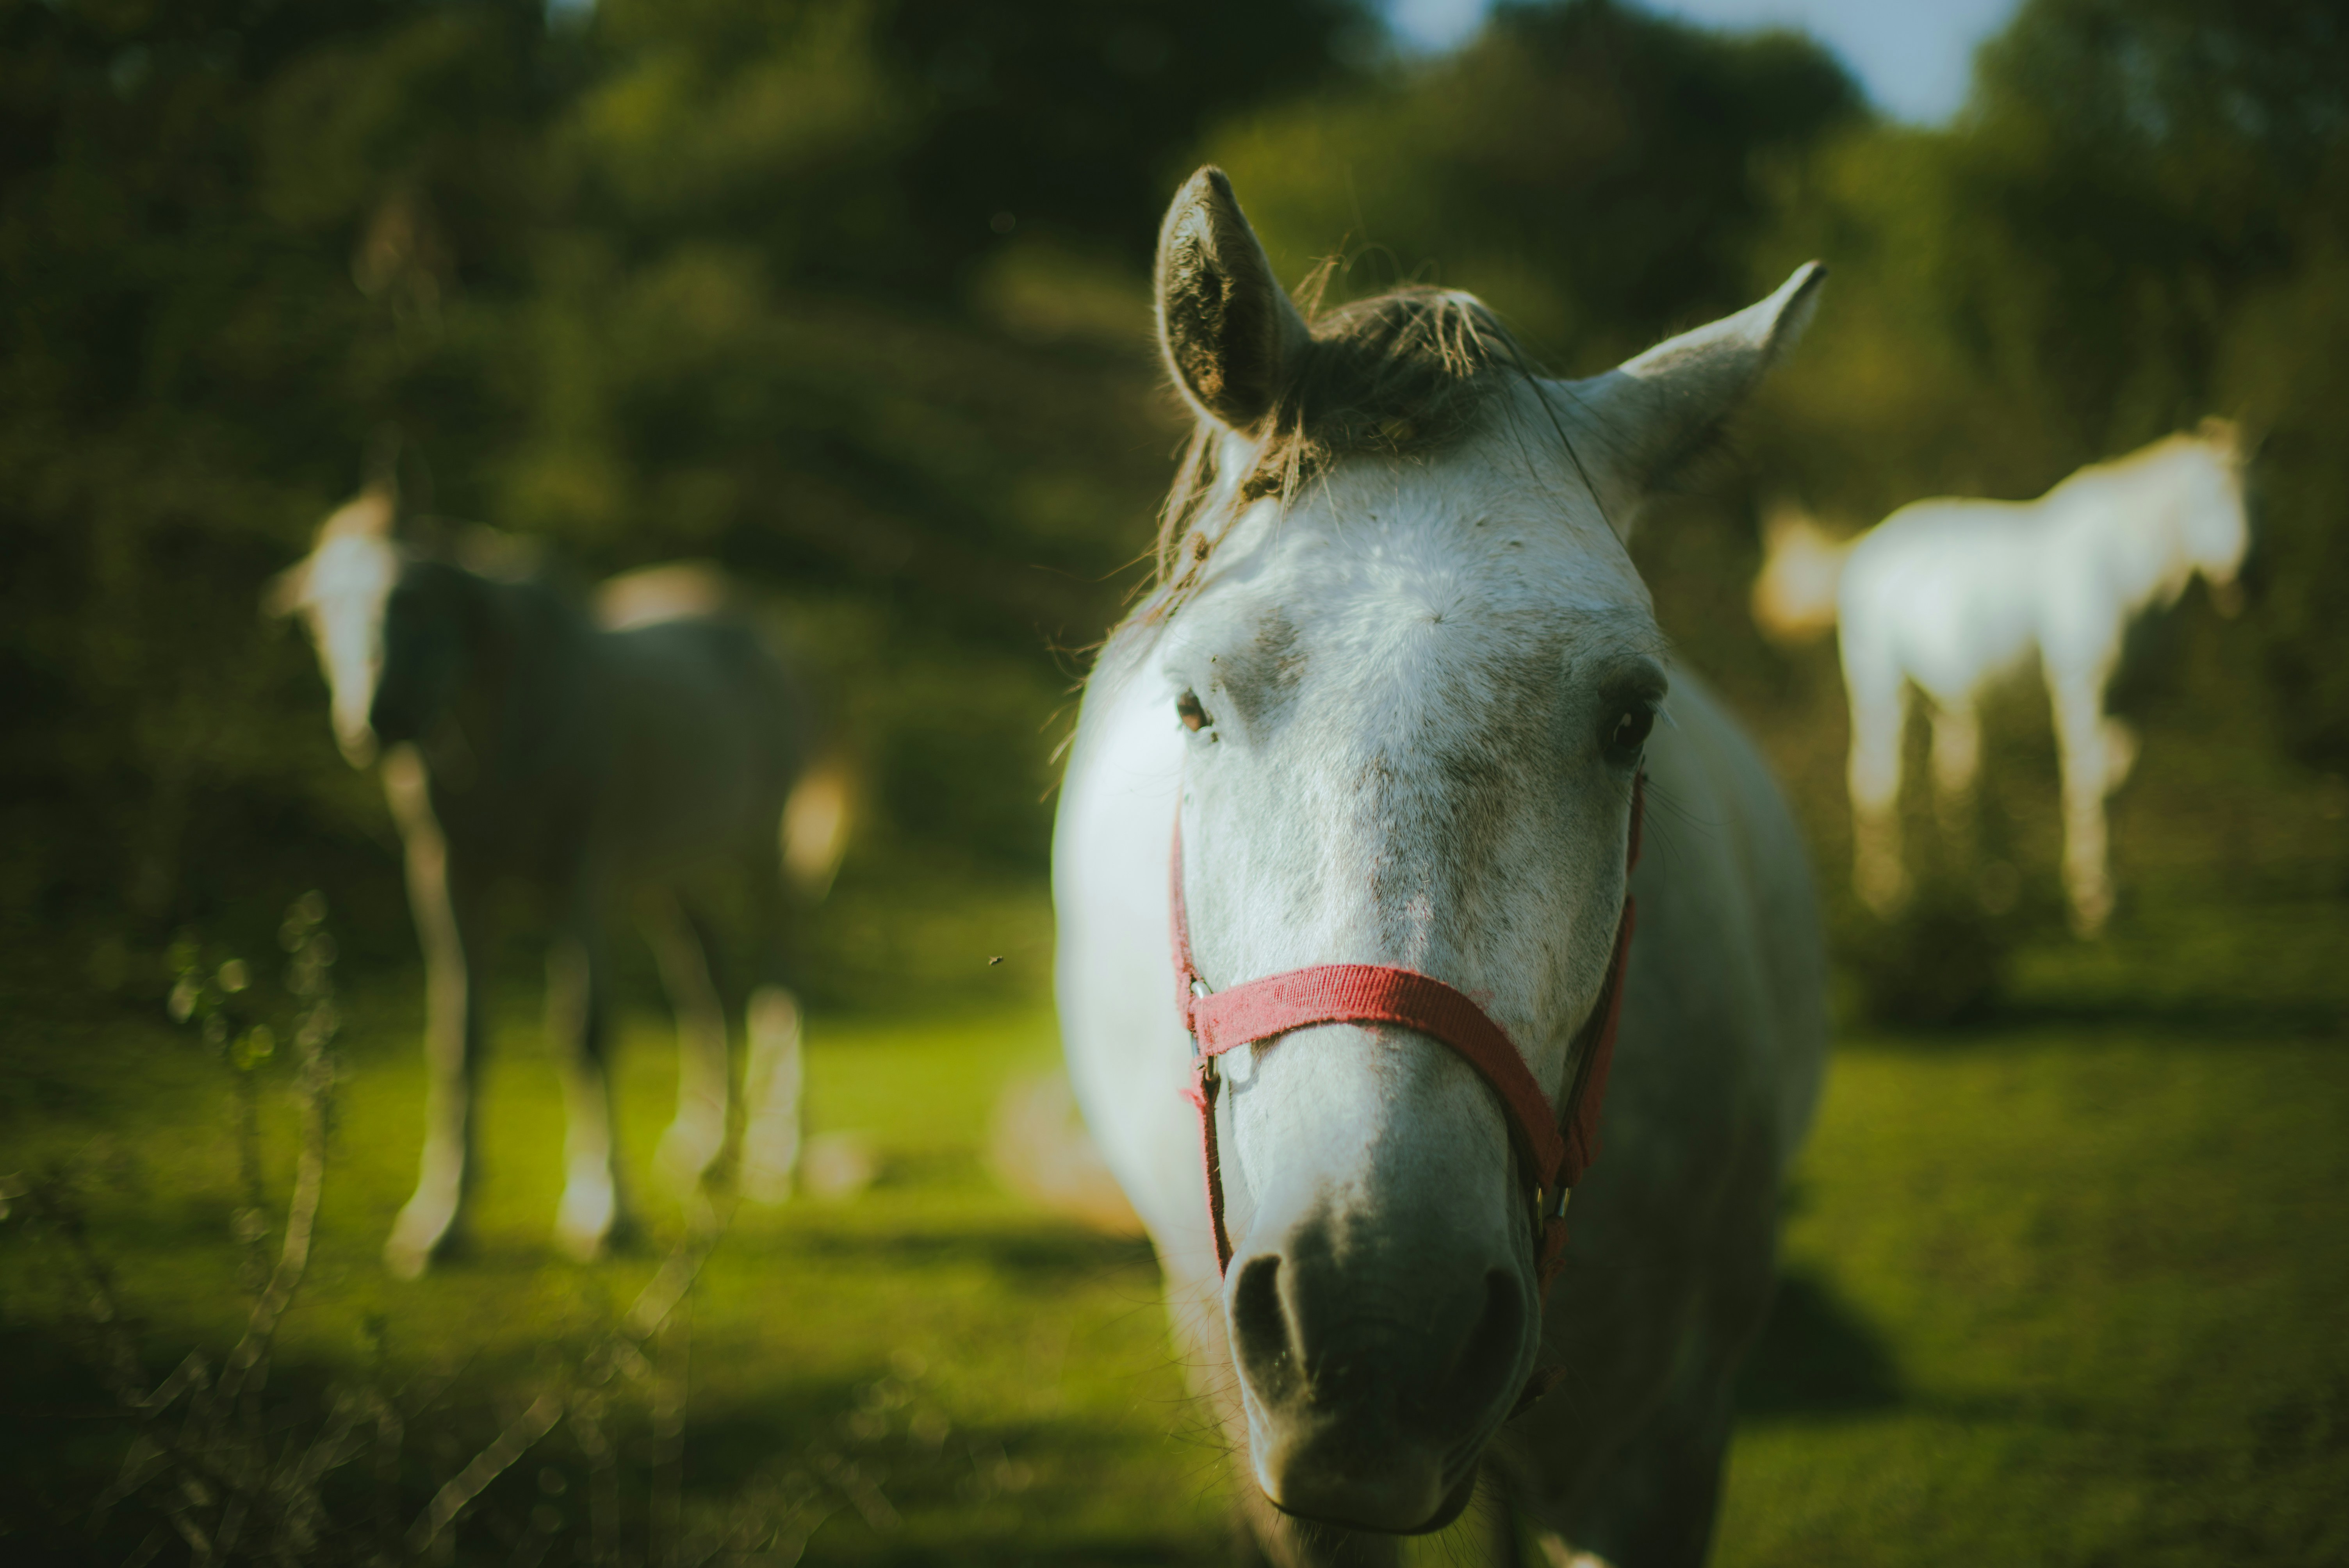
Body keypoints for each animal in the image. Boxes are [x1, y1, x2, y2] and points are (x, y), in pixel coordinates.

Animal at [267, 476, 846, 1277]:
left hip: (763, 858)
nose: (378, 722)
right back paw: (705, 1149)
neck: (502, 740)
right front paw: (438, 1221)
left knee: (780, 984)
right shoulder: (446, 877)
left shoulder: (581, 876)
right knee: (705, 981)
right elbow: (458, 1035)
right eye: (319, 615)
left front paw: (603, 1211)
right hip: (670, 878)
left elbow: (585, 1029)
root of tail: (764, 636)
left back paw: (778, 1153)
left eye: (415, 598)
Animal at [1751, 420, 2249, 932]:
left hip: (1947, 697)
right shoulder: (2082, 688)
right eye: (2208, 495)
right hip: (1879, 683)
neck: (2124, 569)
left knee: (1952, 778)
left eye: (2259, 494)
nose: (2245, 578)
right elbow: (2089, 779)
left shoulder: (2138, 695)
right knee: (1876, 777)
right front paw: (2090, 901)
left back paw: (1981, 887)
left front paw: (2113, 891)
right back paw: (1888, 894)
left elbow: (2118, 781)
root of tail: (1871, 545)